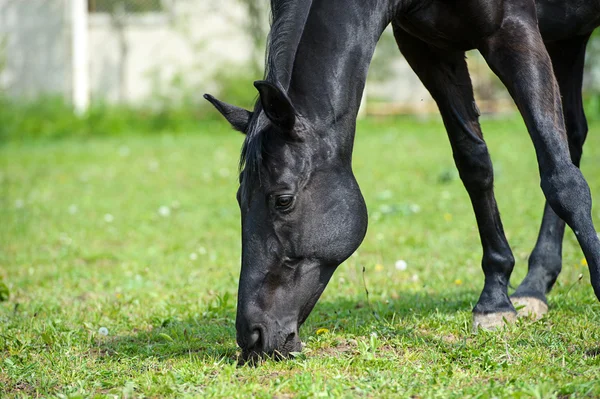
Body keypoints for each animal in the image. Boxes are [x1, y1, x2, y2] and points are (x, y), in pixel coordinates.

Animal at [205, 0, 600, 362]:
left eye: (283, 199)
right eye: (240, 199)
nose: (252, 336)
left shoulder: (512, 29)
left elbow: (562, 179)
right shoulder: (428, 49)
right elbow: (475, 164)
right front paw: (494, 300)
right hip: (569, 37)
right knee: (573, 134)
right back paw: (535, 286)